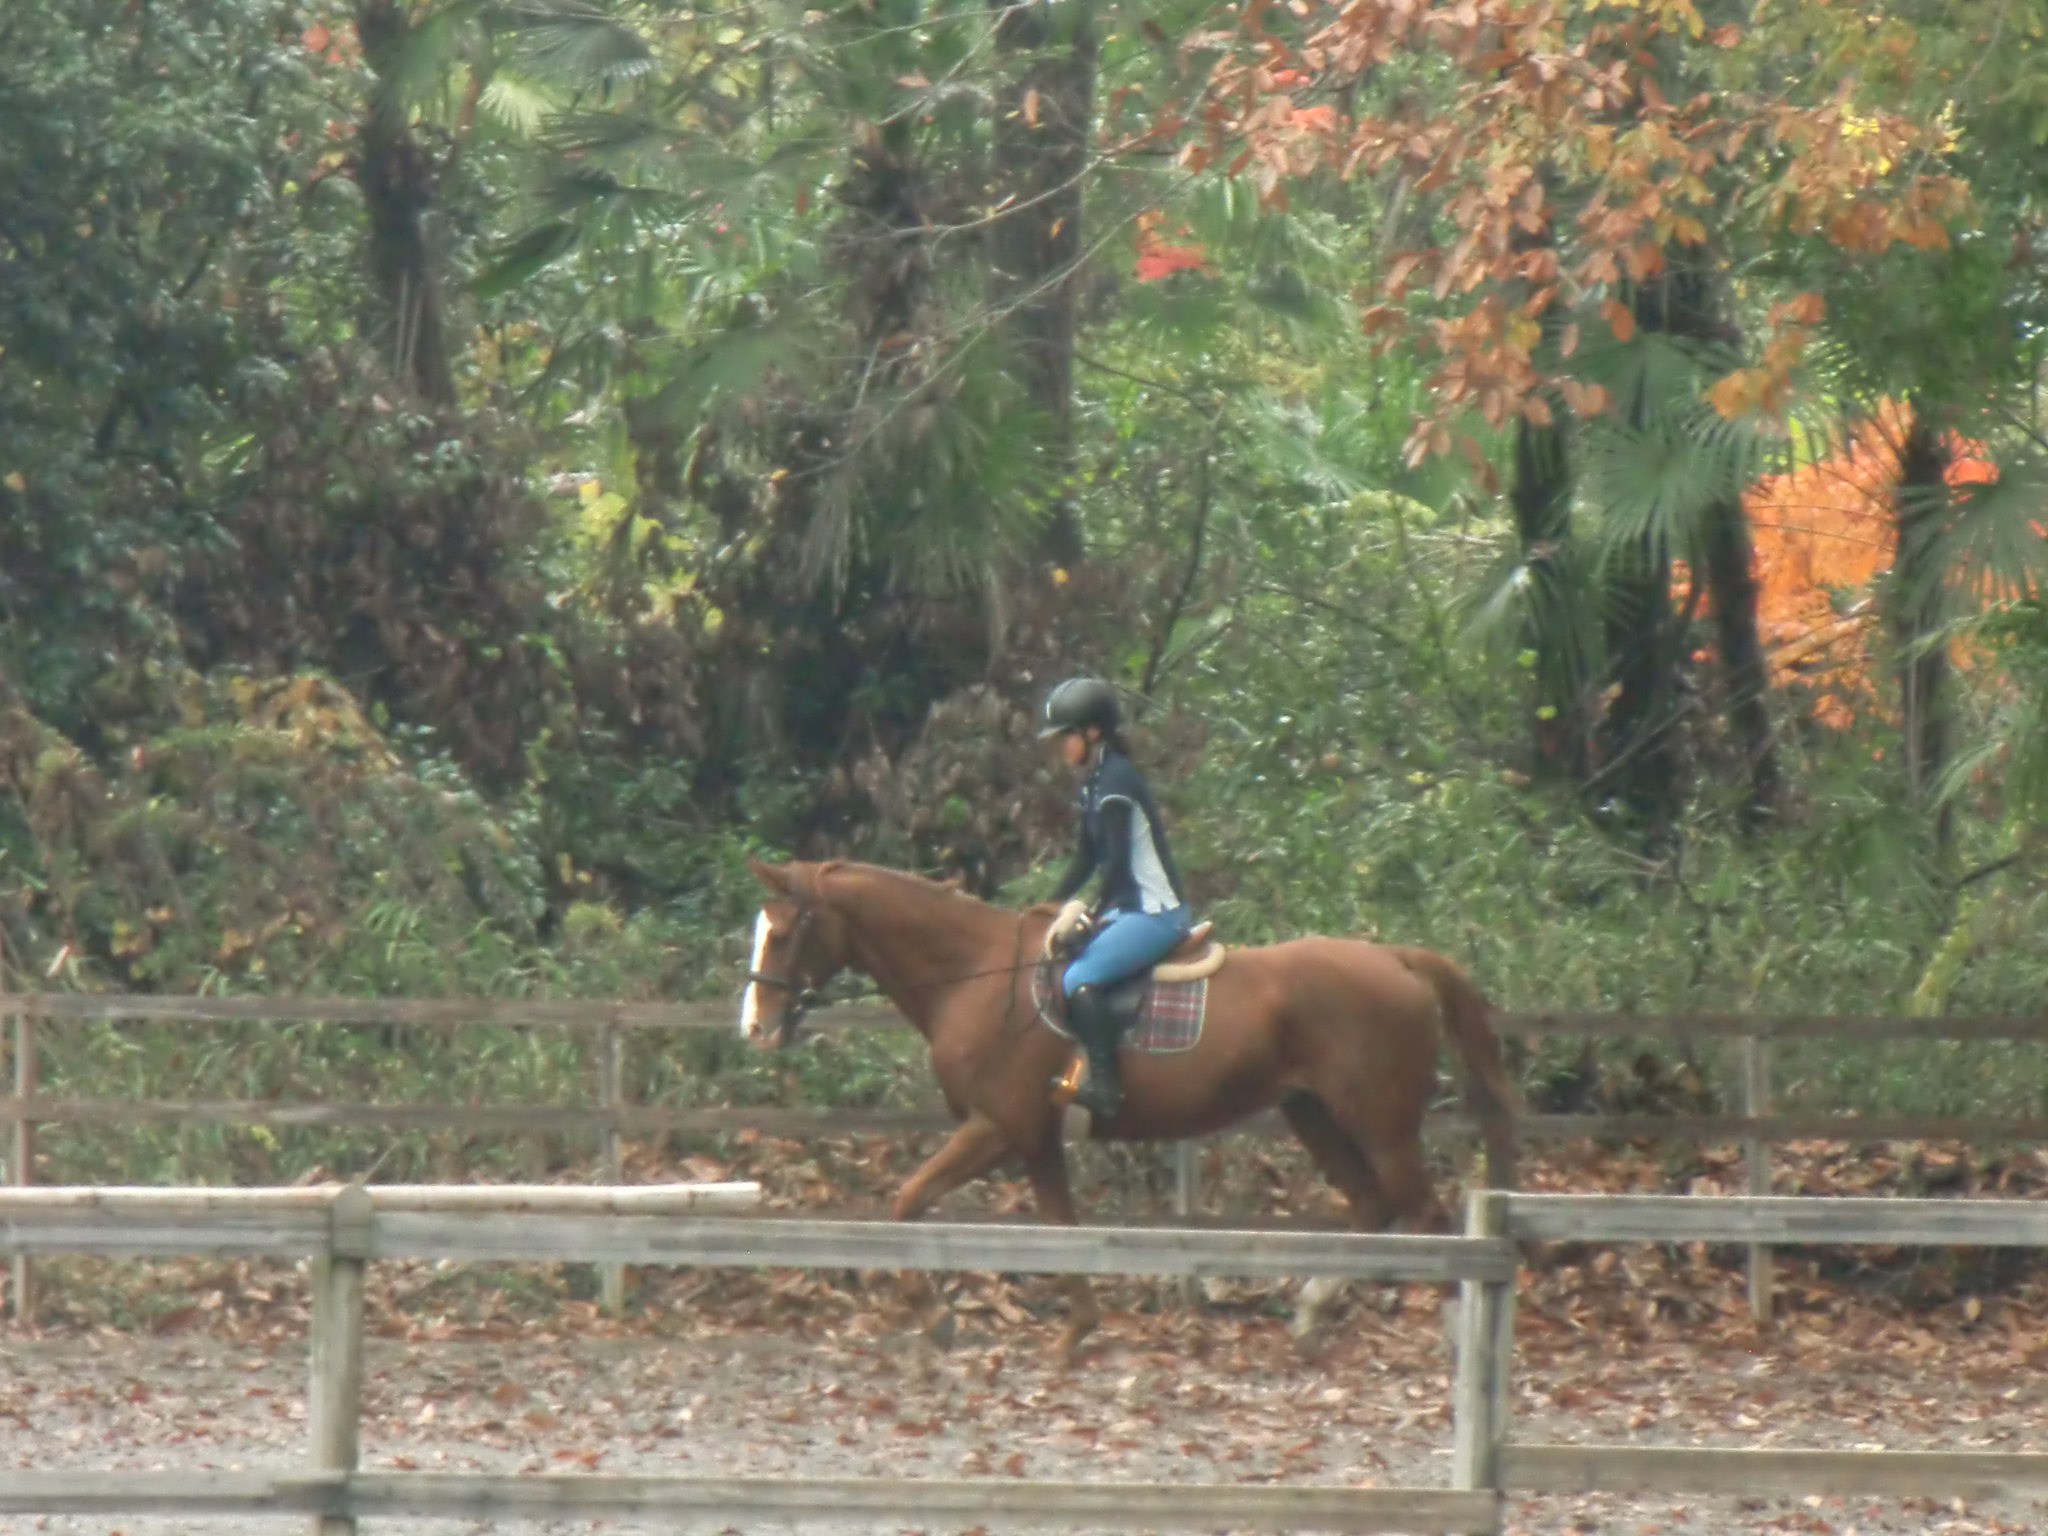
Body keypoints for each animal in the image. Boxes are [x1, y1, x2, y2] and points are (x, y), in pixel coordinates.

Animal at [739, 857, 1517, 1361]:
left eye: (781, 932)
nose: (755, 1027)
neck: (973, 974)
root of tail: (1397, 958)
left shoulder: (999, 1128)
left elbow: (906, 1202)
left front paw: (936, 1318)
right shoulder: (1035, 1139)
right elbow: (1060, 1229)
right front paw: (1077, 1330)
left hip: (1380, 1121)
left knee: (1426, 1218)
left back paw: (1452, 1336)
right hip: (1313, 1114)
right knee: (1372, 1206)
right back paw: (1309, 1316)